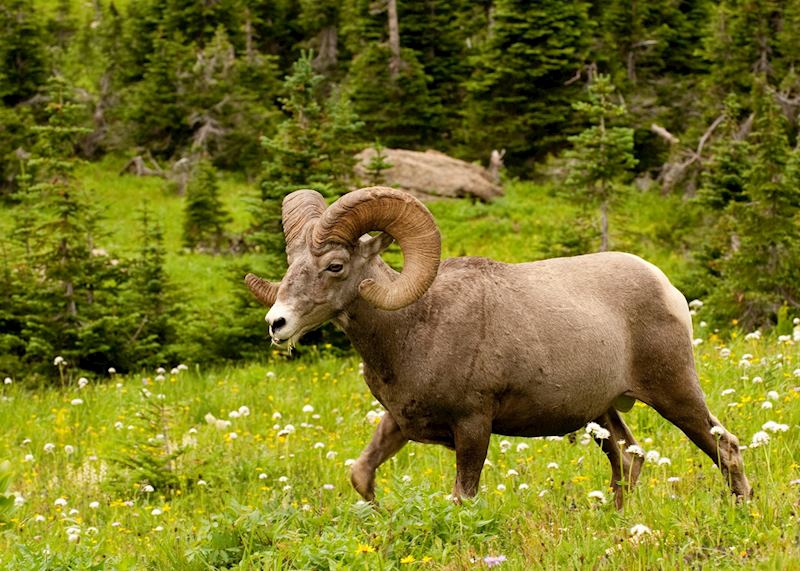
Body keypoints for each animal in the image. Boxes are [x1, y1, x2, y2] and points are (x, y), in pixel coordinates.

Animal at [245, 186, 751, 508]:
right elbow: (361, 475)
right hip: (603, 414)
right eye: (291, 262)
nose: (277, 324)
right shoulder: (399, 423)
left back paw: (741, 508)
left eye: (335, 265)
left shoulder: (473, 424)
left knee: (723, 447)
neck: (415, 328)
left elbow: (463, 498)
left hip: (674, 392)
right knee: (628, 459)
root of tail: (667, 287)